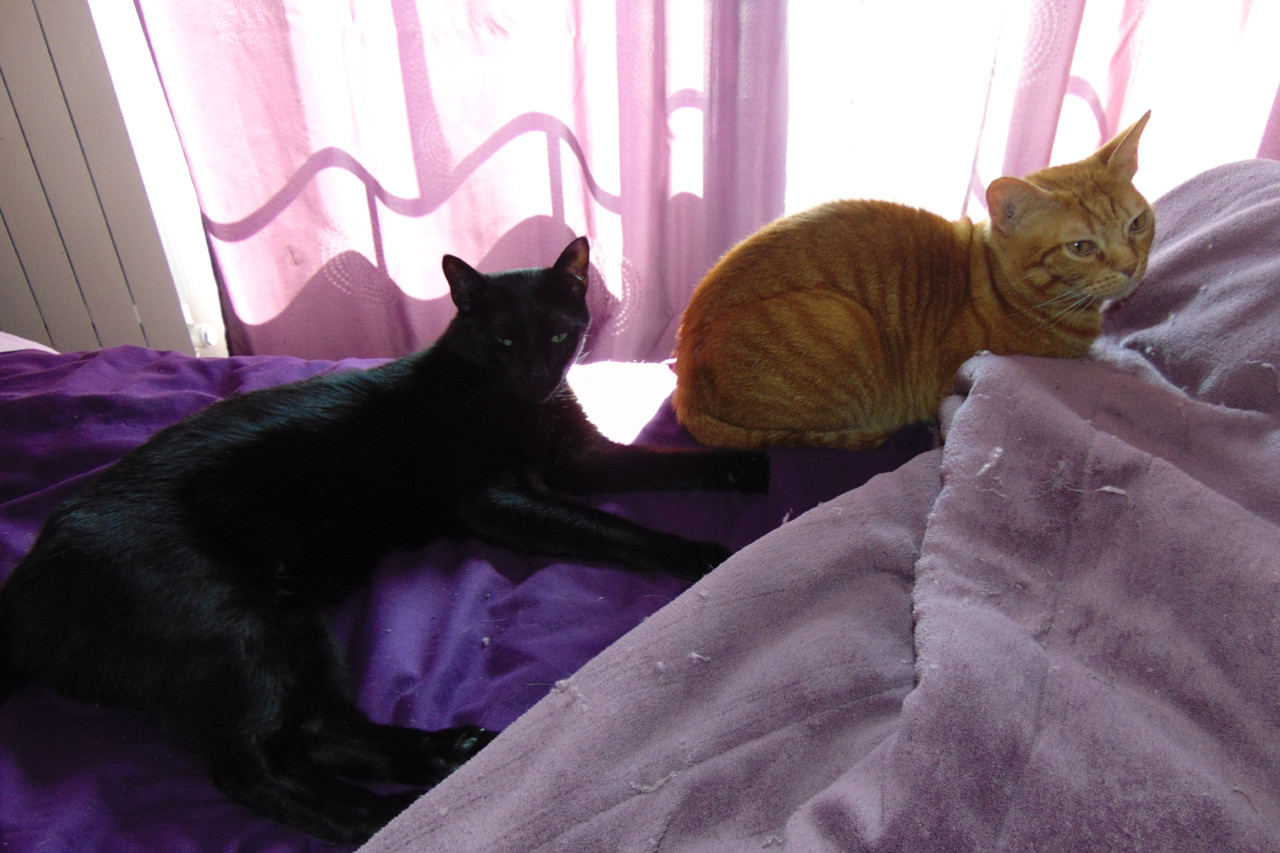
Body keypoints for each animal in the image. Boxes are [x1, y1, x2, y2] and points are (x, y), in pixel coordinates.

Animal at [0, 236, 768, 844]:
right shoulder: (496, 500)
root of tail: (25, 588)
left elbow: (665, 464)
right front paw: (702, 556)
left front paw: (745, 463)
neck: (519, 403)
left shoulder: (579, 460)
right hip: (235, 624)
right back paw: (398, 816)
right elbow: (616, 527)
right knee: (251, 766)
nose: (537, 375)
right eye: (504, 340)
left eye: (555, 335)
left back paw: (445, 755)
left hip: (290, 620)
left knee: (319, 731)